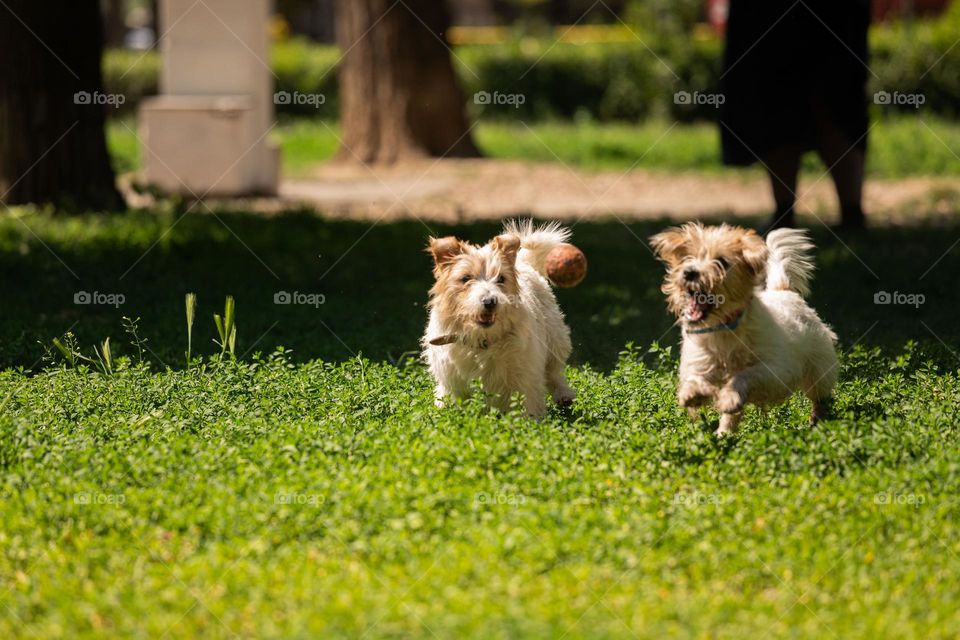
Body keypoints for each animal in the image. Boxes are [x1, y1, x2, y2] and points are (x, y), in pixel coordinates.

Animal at [422, 222, 572, 418]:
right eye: (466, 278)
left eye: (501, 278)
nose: (490, 301)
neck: (481, 338)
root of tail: (524, 262)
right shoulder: (453, 380)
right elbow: (454, 396)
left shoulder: (523, 376)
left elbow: (526, 402)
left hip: (555, 339)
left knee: (554, 372)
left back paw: (563, 395)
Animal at [648, 222, 836, 438]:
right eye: (688, 257)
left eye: (722, 261)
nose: (689, 272)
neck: (723, 329)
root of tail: (783, 290)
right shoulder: (699, 361)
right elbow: (696, 378)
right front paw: (693, 393)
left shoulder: (776, 370)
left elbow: (743, 375)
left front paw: (729, 394)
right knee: (732, 416)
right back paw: (724, 433)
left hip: (818, 369)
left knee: (820, 397)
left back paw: (818, 420)